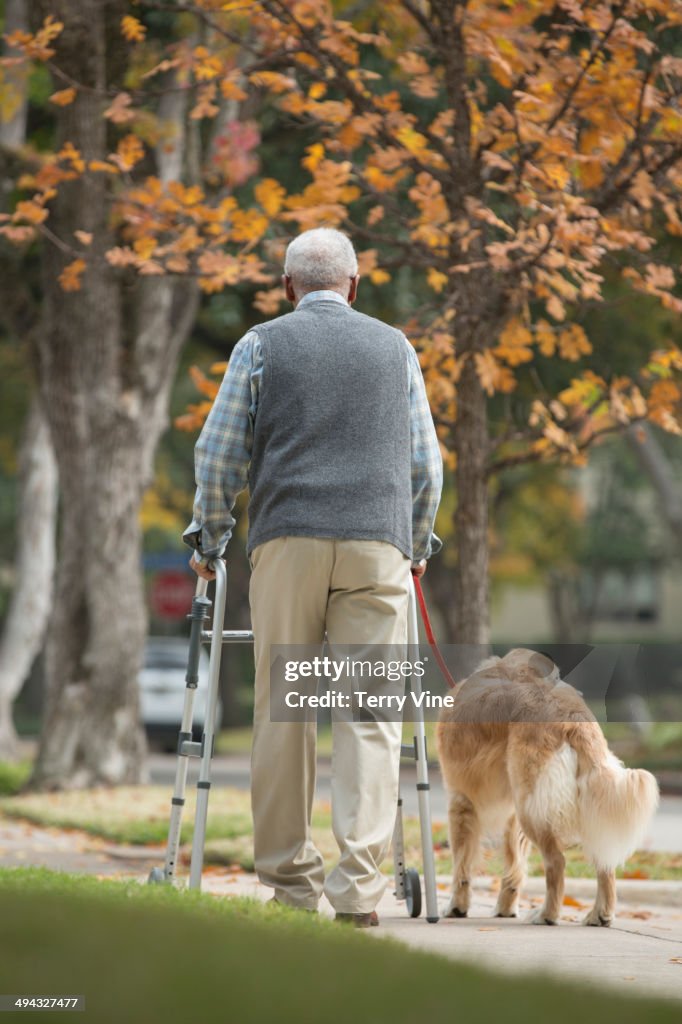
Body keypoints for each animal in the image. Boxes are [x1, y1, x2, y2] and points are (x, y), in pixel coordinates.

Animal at [436, 647, 659, 929]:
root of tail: (572, 716)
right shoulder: (511, 815)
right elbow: (515, 866)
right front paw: (506, 908)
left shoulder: (461, 800)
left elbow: (462, 864)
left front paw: (456, 906)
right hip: (580, 803)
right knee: (604, 861)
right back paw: (600, 914)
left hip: (532, 808)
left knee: (556, 863)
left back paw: (547, 914)